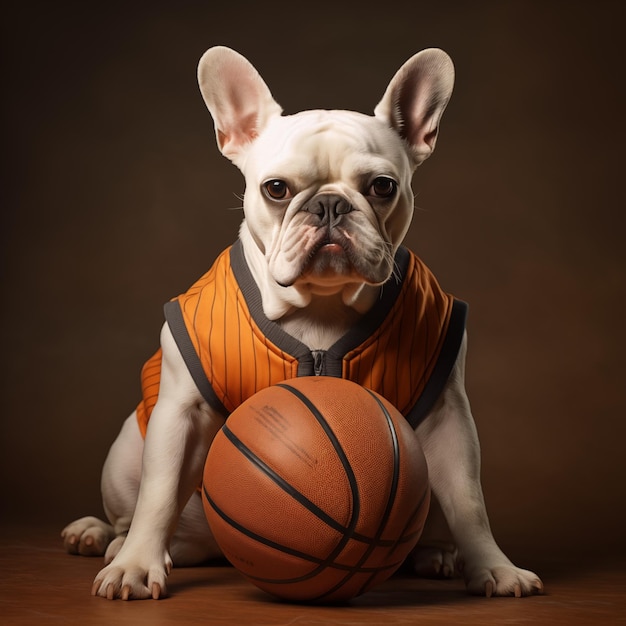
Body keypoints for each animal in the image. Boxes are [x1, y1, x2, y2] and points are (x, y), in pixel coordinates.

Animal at [62, 45, 540, 600]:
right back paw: (102, 537)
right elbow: (158, 496)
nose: (329, 204)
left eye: (382, 186)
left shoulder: (448, 417)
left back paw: (435, 554)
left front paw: (494, 567)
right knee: (133, 510)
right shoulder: (181, 413)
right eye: (276, 189)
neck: (320, 305)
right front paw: (136, 566)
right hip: (125, 453)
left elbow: (468, 503)